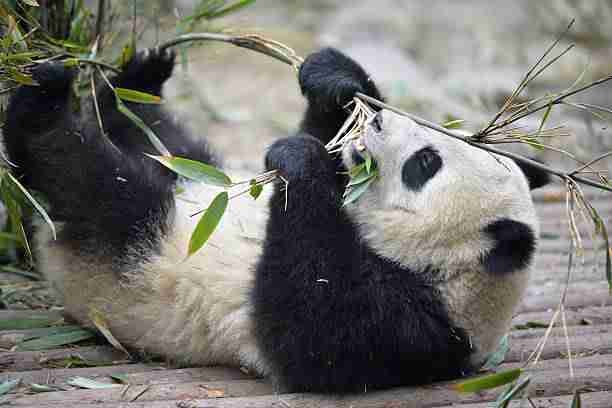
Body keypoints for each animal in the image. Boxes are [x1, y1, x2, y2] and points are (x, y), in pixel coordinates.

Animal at [2, 46, 548, 394]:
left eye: (426, 163)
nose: (377, 121)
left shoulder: (414, 325)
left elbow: (313, 329)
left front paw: (301, 160)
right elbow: (322, 130)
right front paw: (336, 83)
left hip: (145, 241)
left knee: (97, 185)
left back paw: (42, 105)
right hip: (189, 175)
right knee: (161, 141)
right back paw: (138, 80)